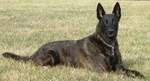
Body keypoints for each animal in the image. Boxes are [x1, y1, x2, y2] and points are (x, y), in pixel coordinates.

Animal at [2, 2, 145, 78]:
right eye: (105, 22)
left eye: (114, 21)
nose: (111, 32)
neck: (108, 44)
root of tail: (33, 53)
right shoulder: (106, 71)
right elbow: (124, 75)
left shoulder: (120, 67)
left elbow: (133, 72)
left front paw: (141, 75)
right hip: (51, 53)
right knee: (37, 65)